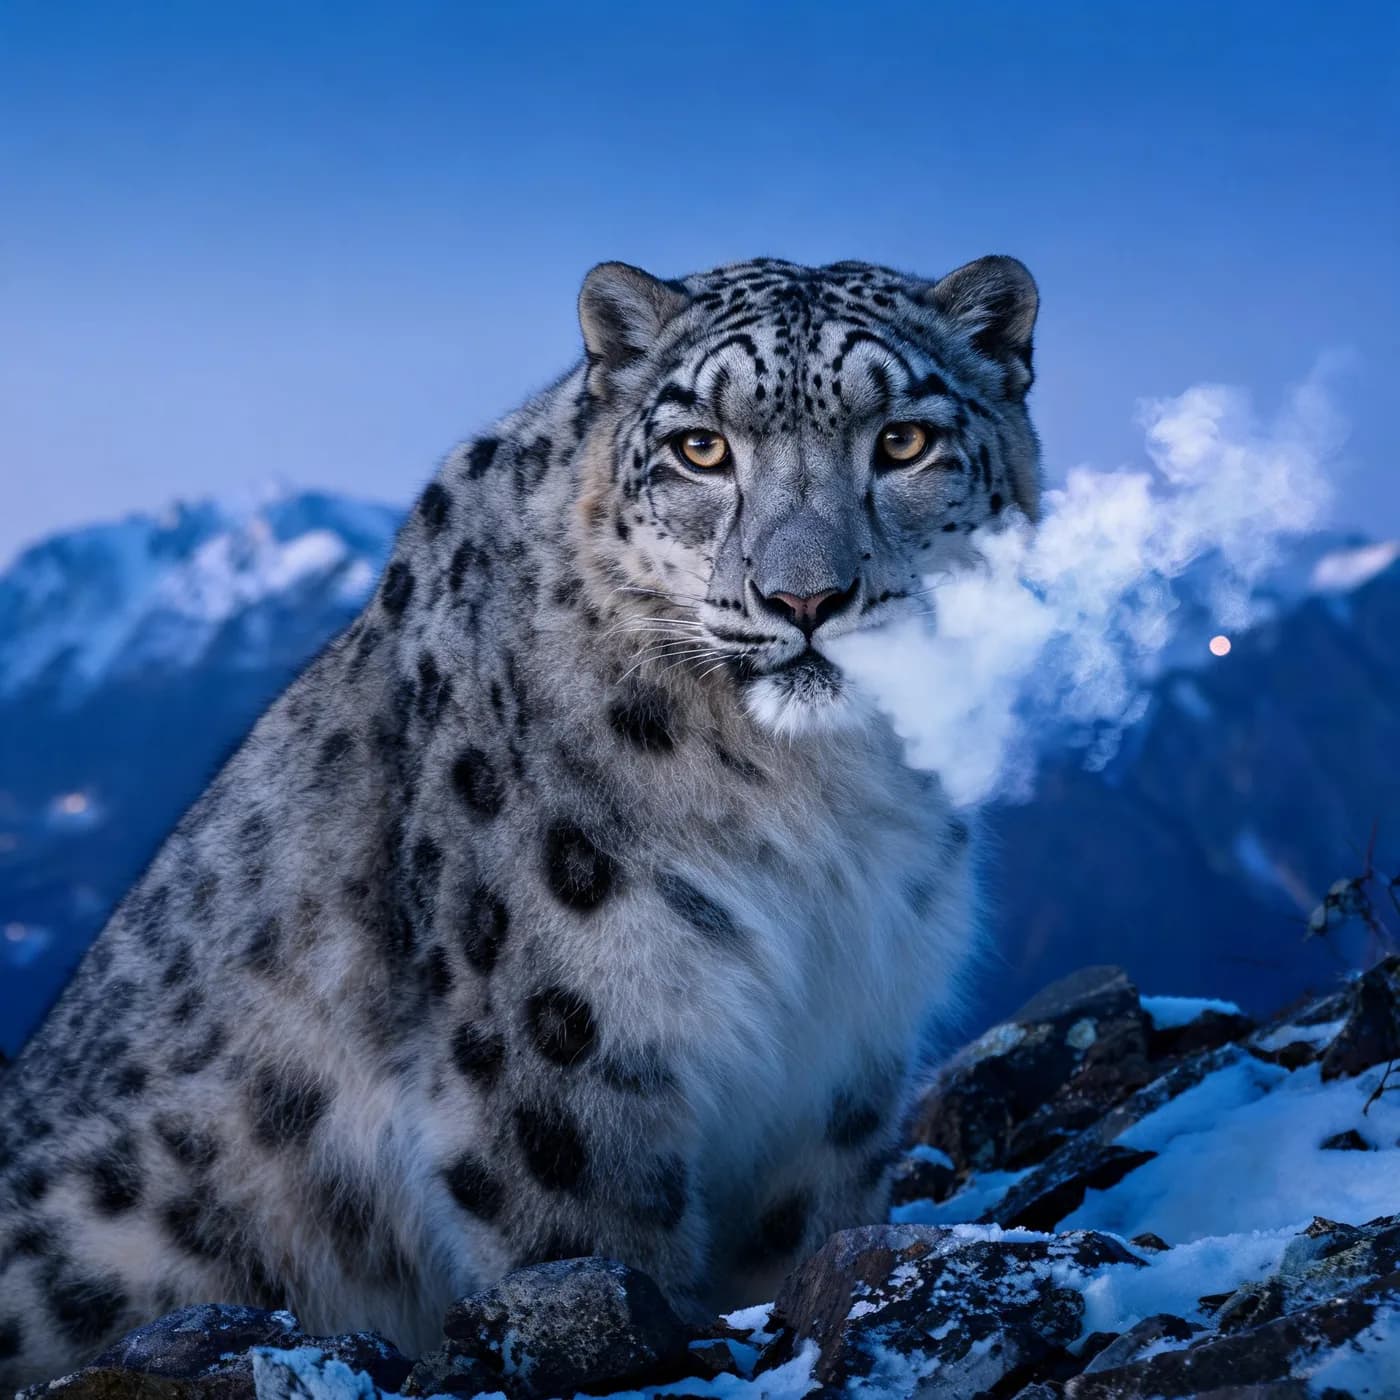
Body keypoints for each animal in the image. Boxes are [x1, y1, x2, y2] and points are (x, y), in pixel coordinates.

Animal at [0, 252, 1040, 1384]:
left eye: (902, 441)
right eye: (700, 447)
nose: (803, 598)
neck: (820, 816)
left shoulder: (842, 1065)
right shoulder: (558, 1046)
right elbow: (591, 1240)